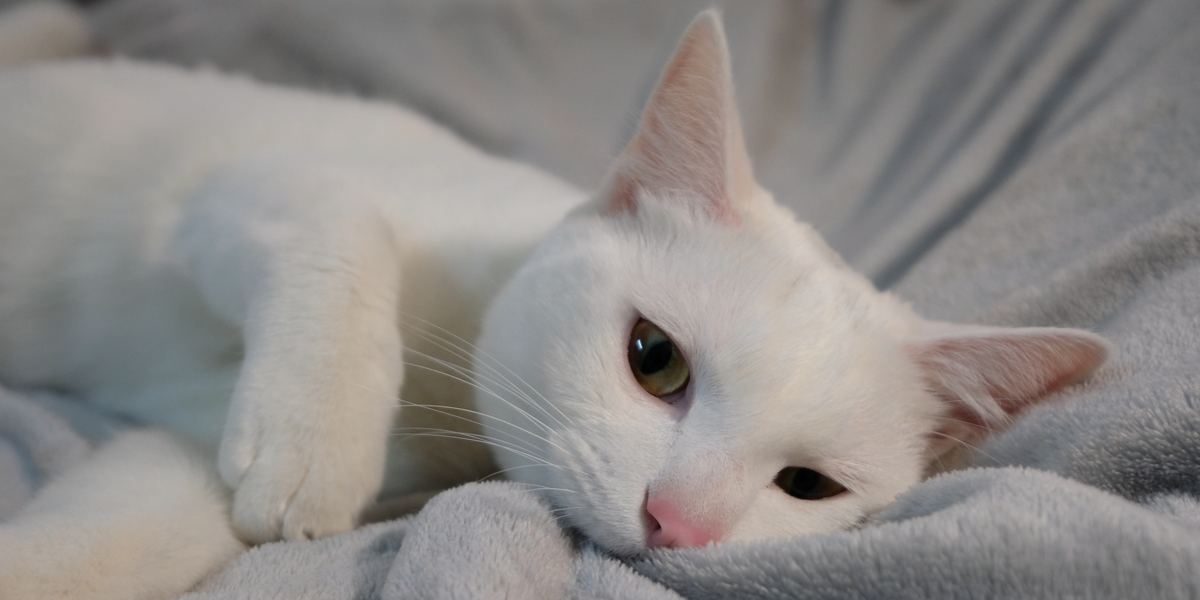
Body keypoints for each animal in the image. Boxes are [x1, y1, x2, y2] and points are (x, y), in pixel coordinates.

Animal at [0, 5, 1104, 600]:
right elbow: (342, 223)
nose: (676, 523)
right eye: (655, 357)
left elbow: (102, 545)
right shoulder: (237, 189)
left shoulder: (183, 458)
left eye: (806, 486)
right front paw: (317, 444)